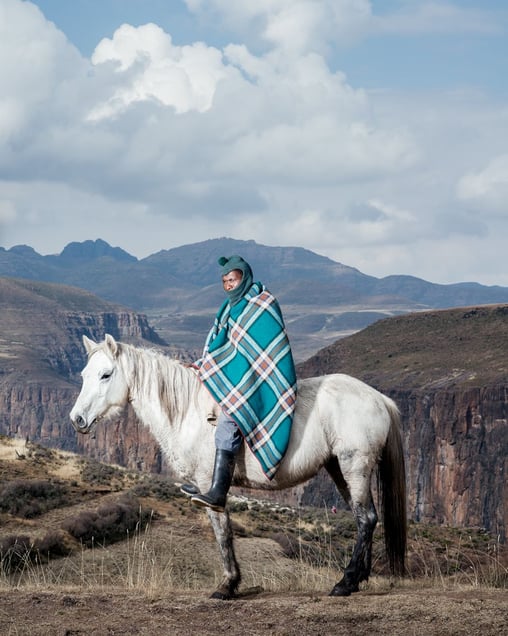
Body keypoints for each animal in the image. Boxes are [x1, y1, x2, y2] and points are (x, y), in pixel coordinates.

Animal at [70, 334, 407, 599]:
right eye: (84, 374)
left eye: (106, 375)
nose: (77, 419)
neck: (188, 412)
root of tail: (379, 399)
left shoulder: (208, 485)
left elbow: (222, 531)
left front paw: (228, 585)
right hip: (340, 469)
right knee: (366, 518)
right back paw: (357, 579)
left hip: (355, 466)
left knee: (365, 518)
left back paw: (345, 582)